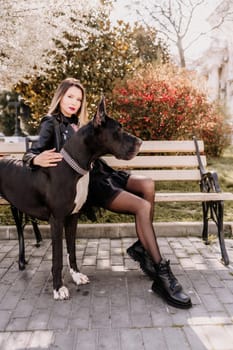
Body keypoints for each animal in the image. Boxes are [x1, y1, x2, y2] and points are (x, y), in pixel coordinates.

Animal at [0, 98, 142, 298]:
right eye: (119, 129)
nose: (141, 142)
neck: (74, 168)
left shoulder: (73, 216)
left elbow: (72, 250)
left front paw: (76, 275)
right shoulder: (57, 219)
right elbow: (58, 257)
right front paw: (58, 287)